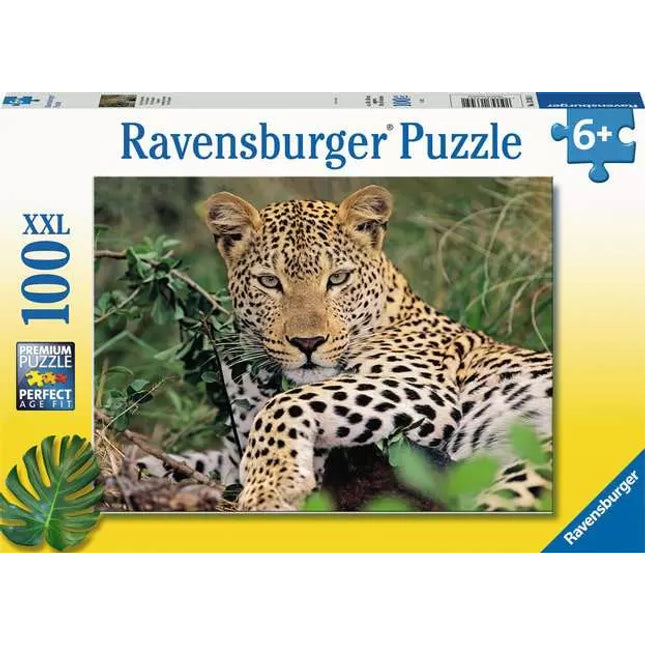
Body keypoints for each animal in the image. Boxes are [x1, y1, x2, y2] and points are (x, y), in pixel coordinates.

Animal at [138, 185, 552, 512]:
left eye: (337, 278)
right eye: (270, 282)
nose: (307, 343)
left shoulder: (427, 392)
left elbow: (286, 403)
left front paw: (270, 487)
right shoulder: (231, 452)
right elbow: (174, 461)